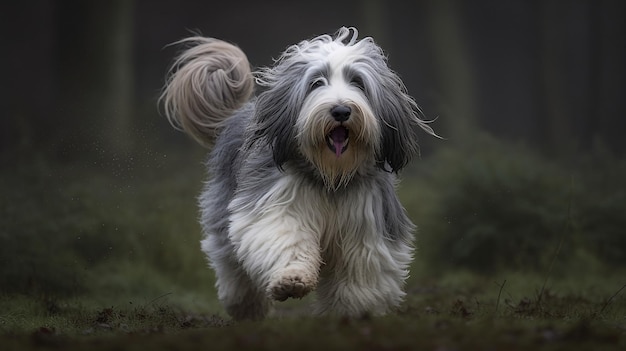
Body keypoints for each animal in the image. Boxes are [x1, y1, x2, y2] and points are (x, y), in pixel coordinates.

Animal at [158, 26, 436, 320]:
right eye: (316, 82)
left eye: (358, 82)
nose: (341, 110)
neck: (330, 178)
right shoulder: (275, 204)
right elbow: (285, 237)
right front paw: (291, 281)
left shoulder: (369, 223)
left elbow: (360, 268)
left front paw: (353, 311)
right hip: (223, 208)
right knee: (231, 262)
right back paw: (245, 305)